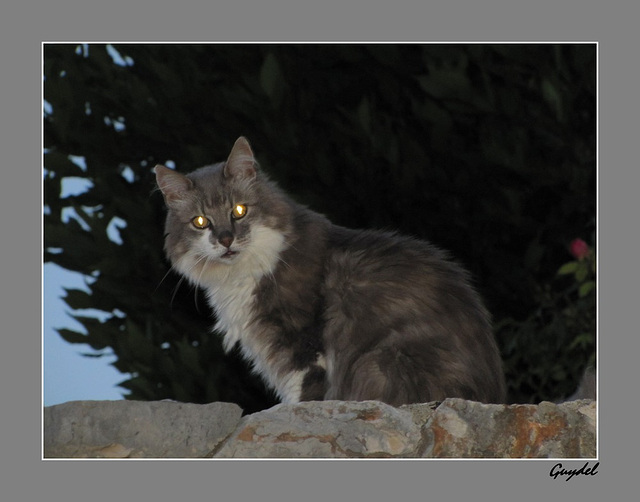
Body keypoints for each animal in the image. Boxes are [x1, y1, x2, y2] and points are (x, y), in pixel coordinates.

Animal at [155, 135, 504, 406]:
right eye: (201, 222)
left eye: (239, 211)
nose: (226, 239)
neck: (240, 276)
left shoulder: (303, 345)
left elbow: (304, 395)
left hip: (380, 361)